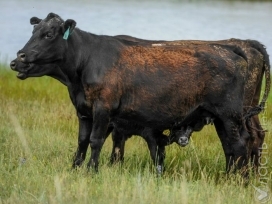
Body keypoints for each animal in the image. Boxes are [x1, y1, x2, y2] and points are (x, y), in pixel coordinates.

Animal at [15, 12, 258, 175]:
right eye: (34, 32)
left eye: (48, 34)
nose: (20, 56)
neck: (85, 64)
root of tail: (230, 50)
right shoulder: (83, 111)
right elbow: (82, 141)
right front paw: (74, 168)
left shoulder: (103, 108)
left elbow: (95, 140)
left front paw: (92, 171)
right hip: (219, 117)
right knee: (229, 145)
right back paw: (230, 176)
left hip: (230, 115)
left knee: (240, 143)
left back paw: (239, 179)